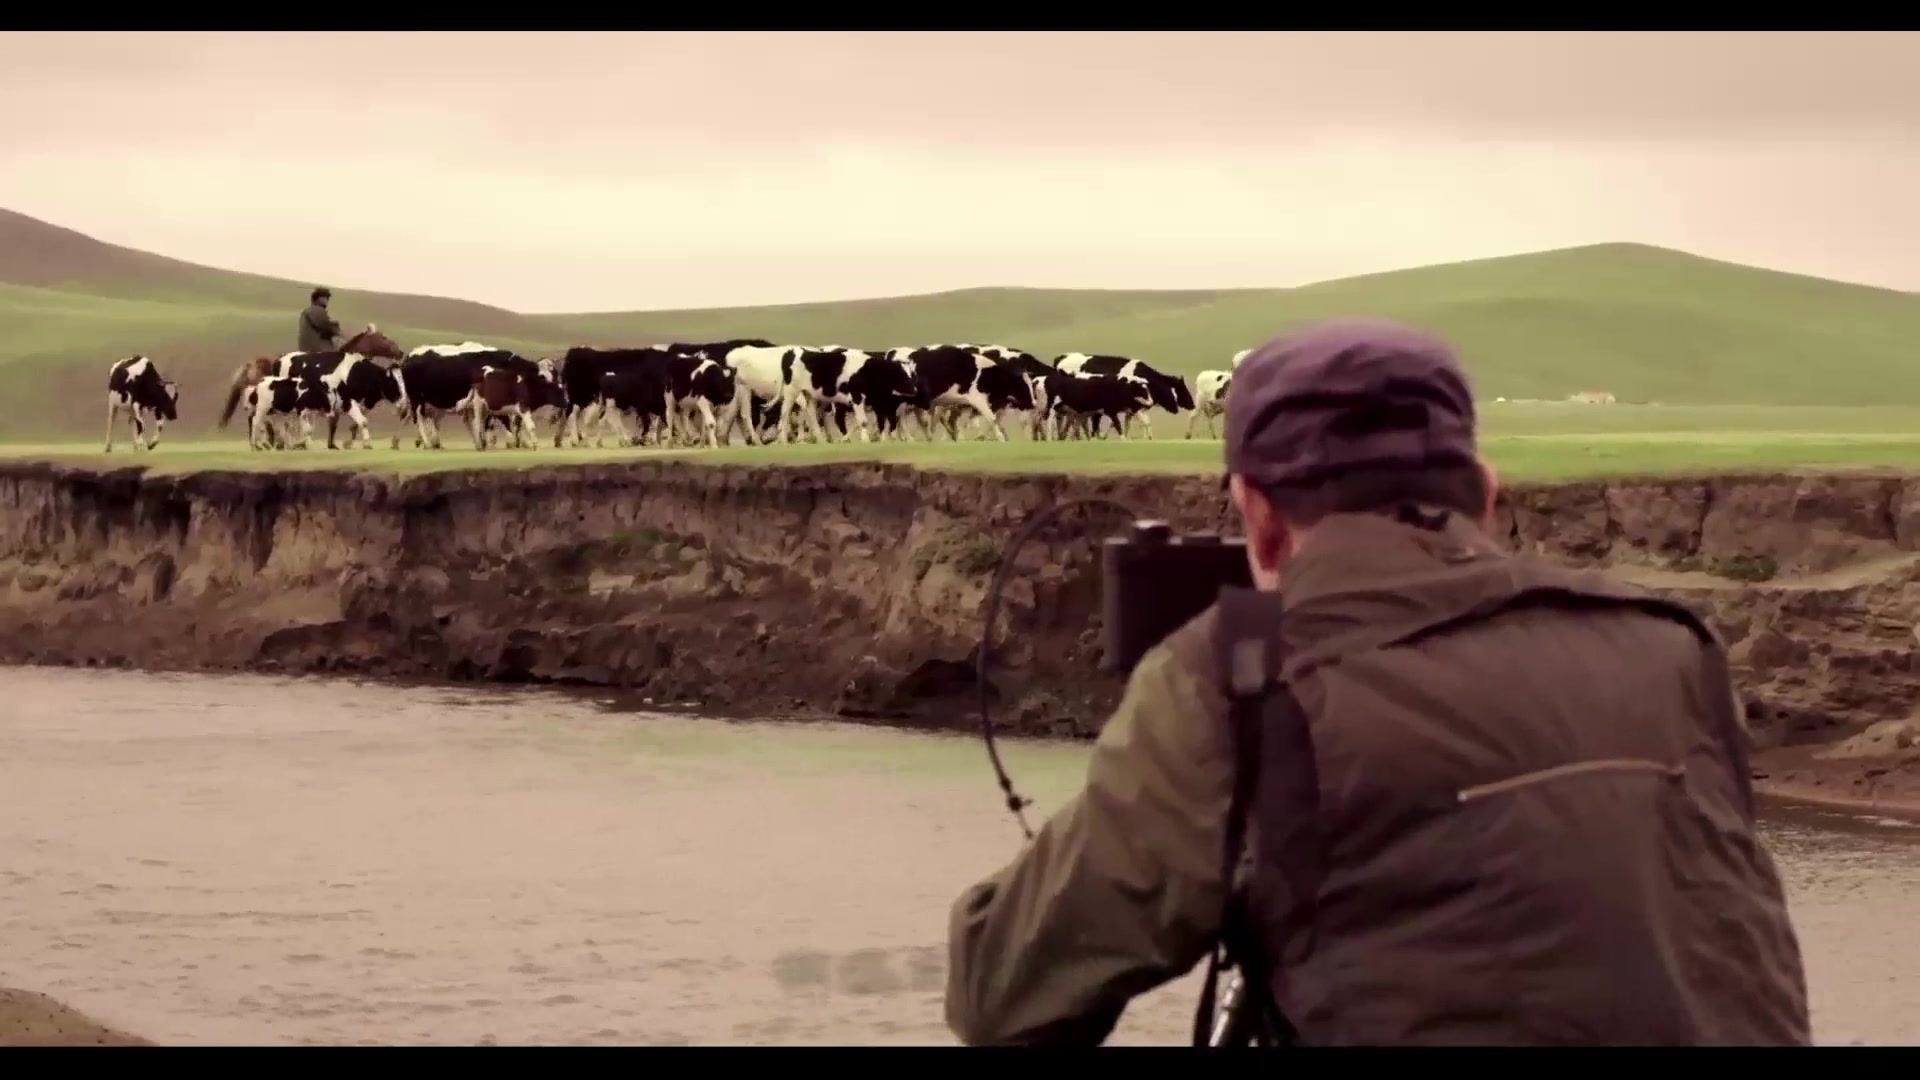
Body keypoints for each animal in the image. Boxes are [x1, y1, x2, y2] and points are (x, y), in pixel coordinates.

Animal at [1044, 353, 1190, 438]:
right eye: (1177, 391)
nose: (1192, 404)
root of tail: (1063, 356)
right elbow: (1137, 423)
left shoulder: (1128, 408)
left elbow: (1125, 424)